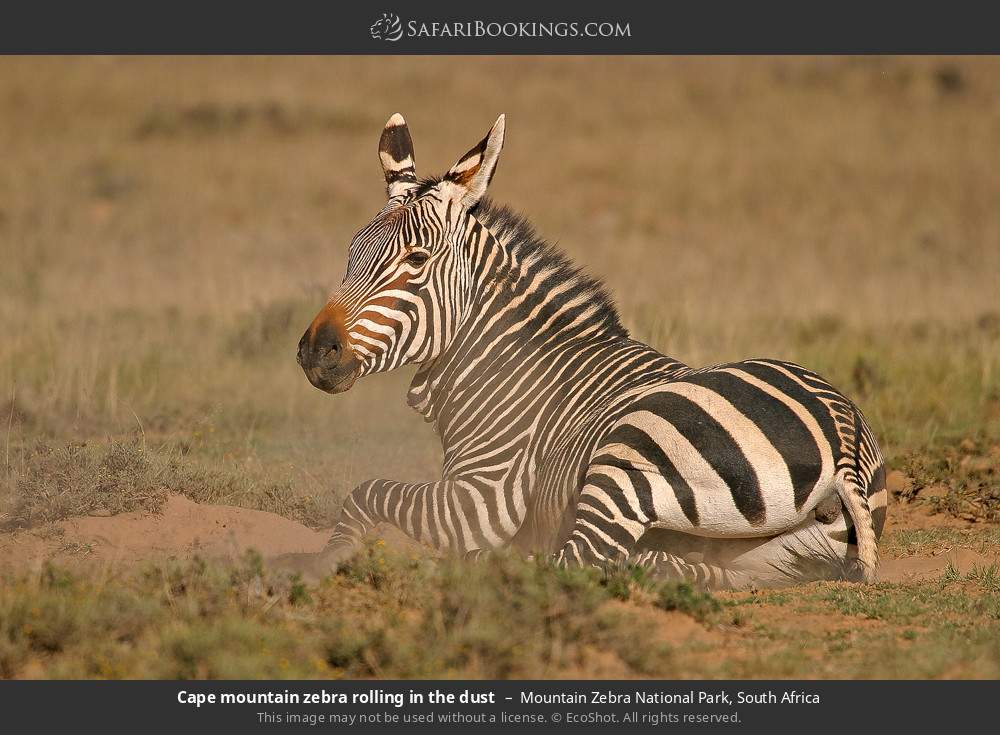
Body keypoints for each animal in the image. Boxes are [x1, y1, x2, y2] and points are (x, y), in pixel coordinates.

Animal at [282, 113, 887, 588]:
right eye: (352, 254)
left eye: (416, 260)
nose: (315, 351)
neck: (500, 364)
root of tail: (843, 435)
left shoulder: (483, 500)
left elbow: (366, 492)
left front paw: (328, 562)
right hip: (761, 560)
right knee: (675, 569)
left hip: (628, 455)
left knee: (573, 563)